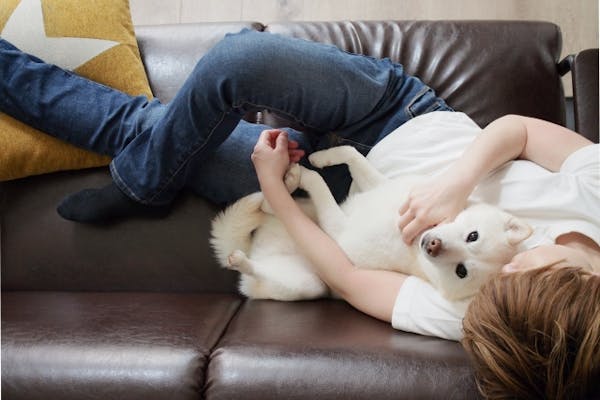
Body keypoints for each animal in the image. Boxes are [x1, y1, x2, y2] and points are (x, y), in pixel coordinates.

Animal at [210, 146, 528, 300]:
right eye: (472, 235)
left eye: (462, 271)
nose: (433, 245)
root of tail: (256, 251)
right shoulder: (381, 186)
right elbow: (351, 154)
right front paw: (317, 159)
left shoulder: (339, 230)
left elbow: (319, 183)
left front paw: (300, 175)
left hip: (308, 285)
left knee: (257, 271)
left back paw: (241, 260)